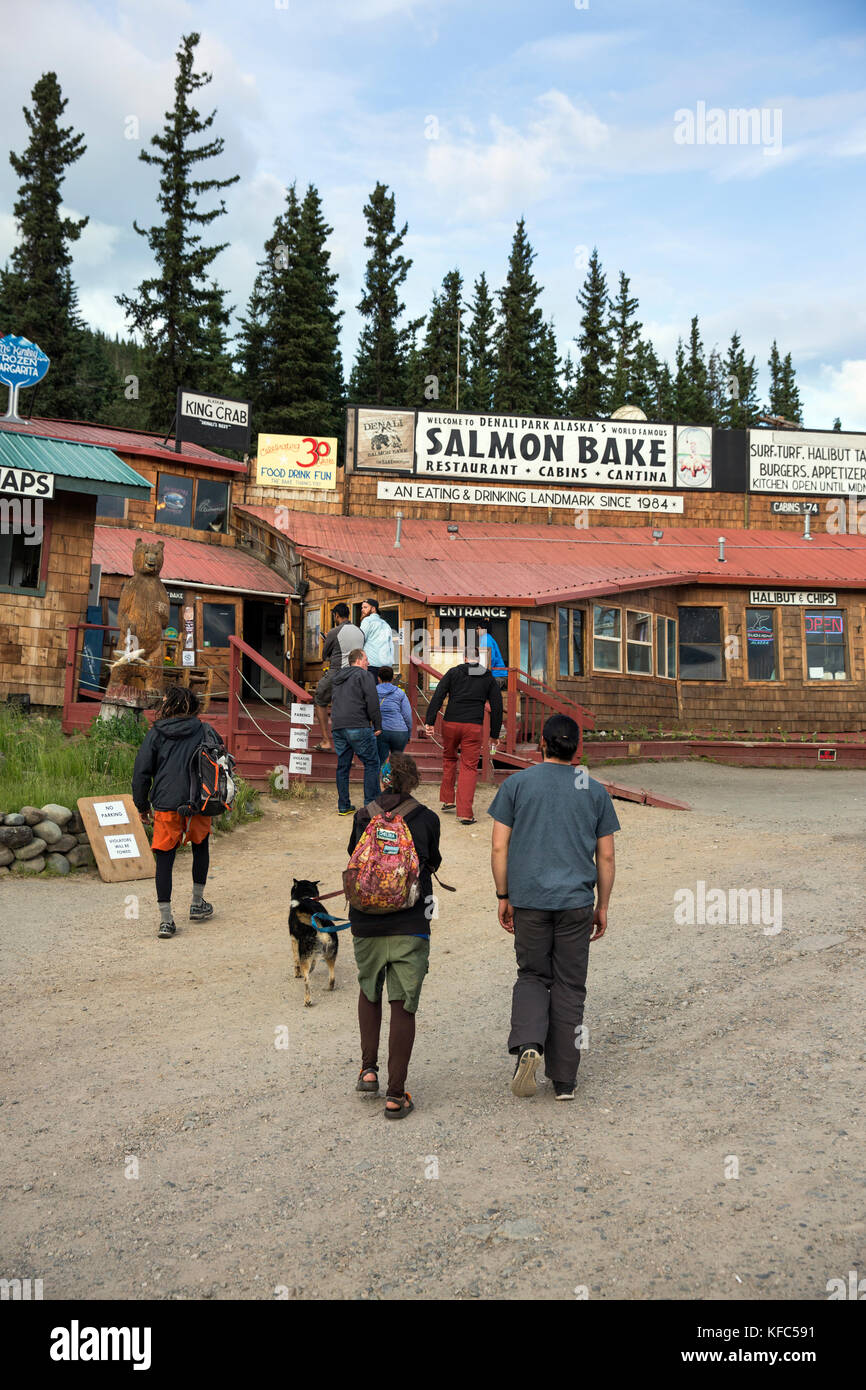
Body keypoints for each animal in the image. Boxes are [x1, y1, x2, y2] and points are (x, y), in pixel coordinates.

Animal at [286, 878, 337, 1011]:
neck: (305, 896)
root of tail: (319, 927)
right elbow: (313, 962)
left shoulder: (294, 940)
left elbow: (296, 961)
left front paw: (297, 973)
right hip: (331, 954)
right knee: (332, 977)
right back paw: (329, 988)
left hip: (305, 954)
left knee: (307, 983)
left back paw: (307, 1001)